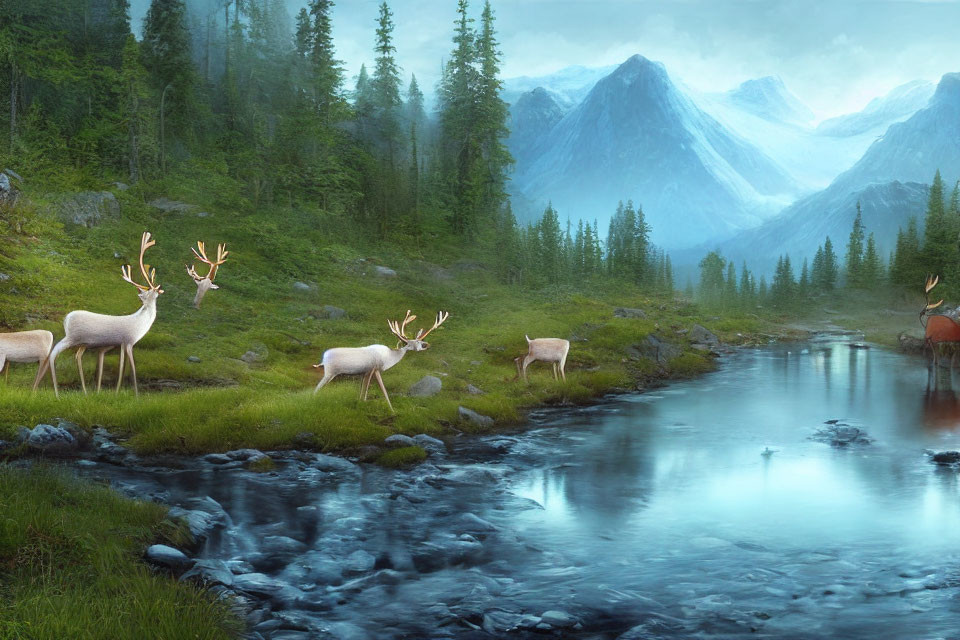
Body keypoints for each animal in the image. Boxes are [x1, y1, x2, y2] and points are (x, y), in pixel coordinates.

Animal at [48, 232, 165, 398]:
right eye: (153, 290)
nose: (161, 289)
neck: (140, 323)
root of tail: (65, 319)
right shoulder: (129, 340)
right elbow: (132, 368)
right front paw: (137, 395)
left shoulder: (121, 343)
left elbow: (122, 366)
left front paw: (118, 392)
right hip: (72, 337)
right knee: (53, 353)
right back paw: (57, 393)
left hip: (82, 342)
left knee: (76, 356)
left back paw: (84, 392)